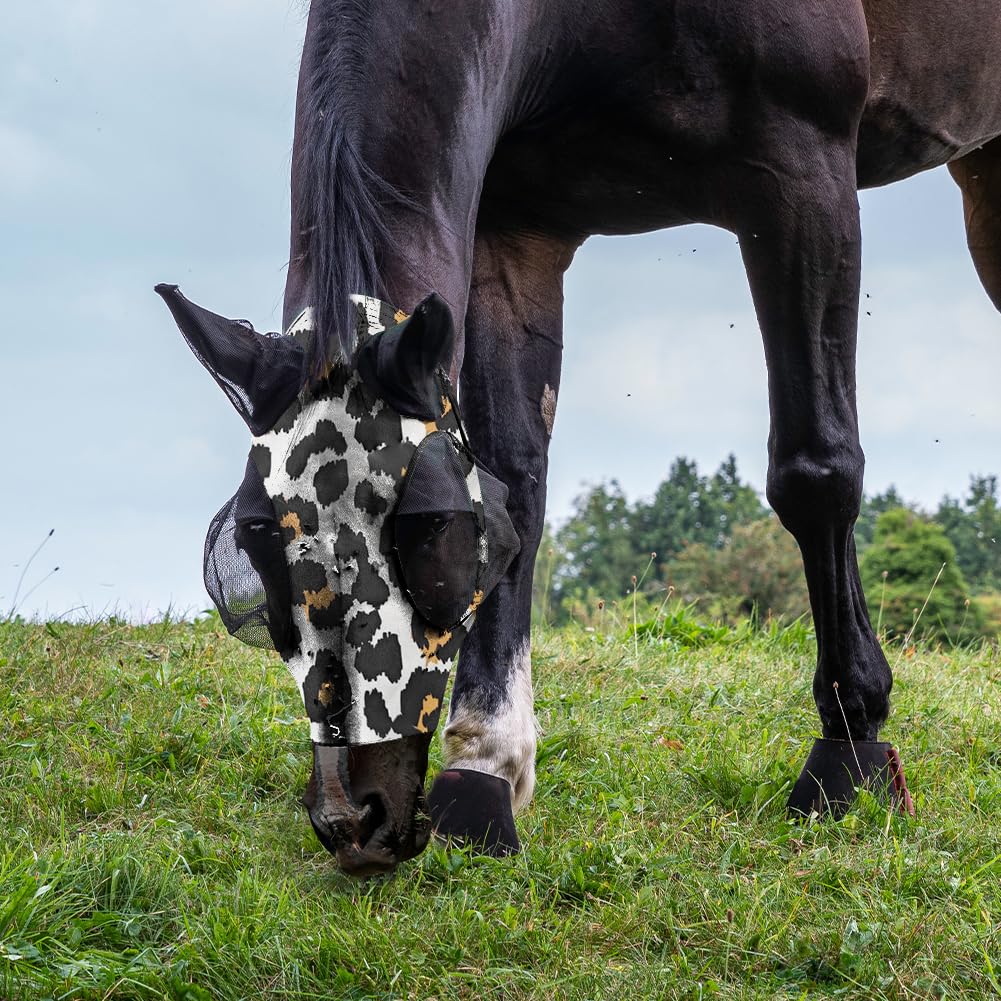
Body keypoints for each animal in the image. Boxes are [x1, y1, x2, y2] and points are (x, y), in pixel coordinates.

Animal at [162, 0, 1001, 874]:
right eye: (255, 542)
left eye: (433, 529)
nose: (355, 816)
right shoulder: (514, 230)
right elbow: (517, 479)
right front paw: (485, 765)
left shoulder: (803, 177)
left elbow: (816, 469)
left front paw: (849, 744)